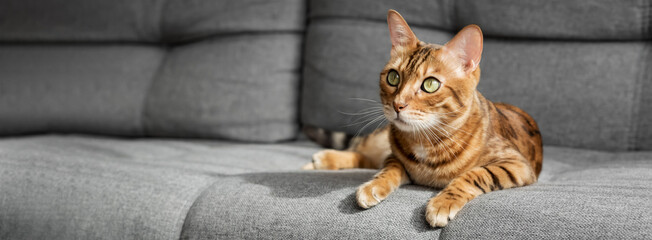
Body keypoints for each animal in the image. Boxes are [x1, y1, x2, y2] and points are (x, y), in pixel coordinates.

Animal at [304, 9, 544, 227]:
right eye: (393, 77)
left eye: (430, 84)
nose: (397, 104)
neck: (426, 141)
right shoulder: (395, 157)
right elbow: (388, 168)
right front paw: (374, 185)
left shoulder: (516, 164)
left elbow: (475, 174)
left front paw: (443, 202)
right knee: (363, 153)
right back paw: (322, 160)